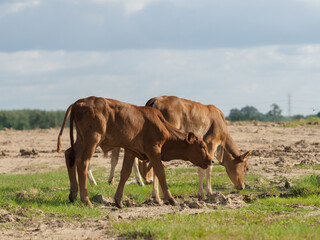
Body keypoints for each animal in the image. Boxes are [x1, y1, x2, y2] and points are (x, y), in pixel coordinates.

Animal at [57, 96, 212, 207]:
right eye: (202, 146)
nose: (211, 160)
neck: (160, 124)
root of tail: (79, 102)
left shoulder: (130, 151)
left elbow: (125, 173)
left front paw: (118, 200)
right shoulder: (154, 150)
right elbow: (161, 173)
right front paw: (171, 199)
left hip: (81, 140)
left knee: (69, 155)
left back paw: (73, 194)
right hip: (92, 140)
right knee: (83, 162)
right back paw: (86, 199)